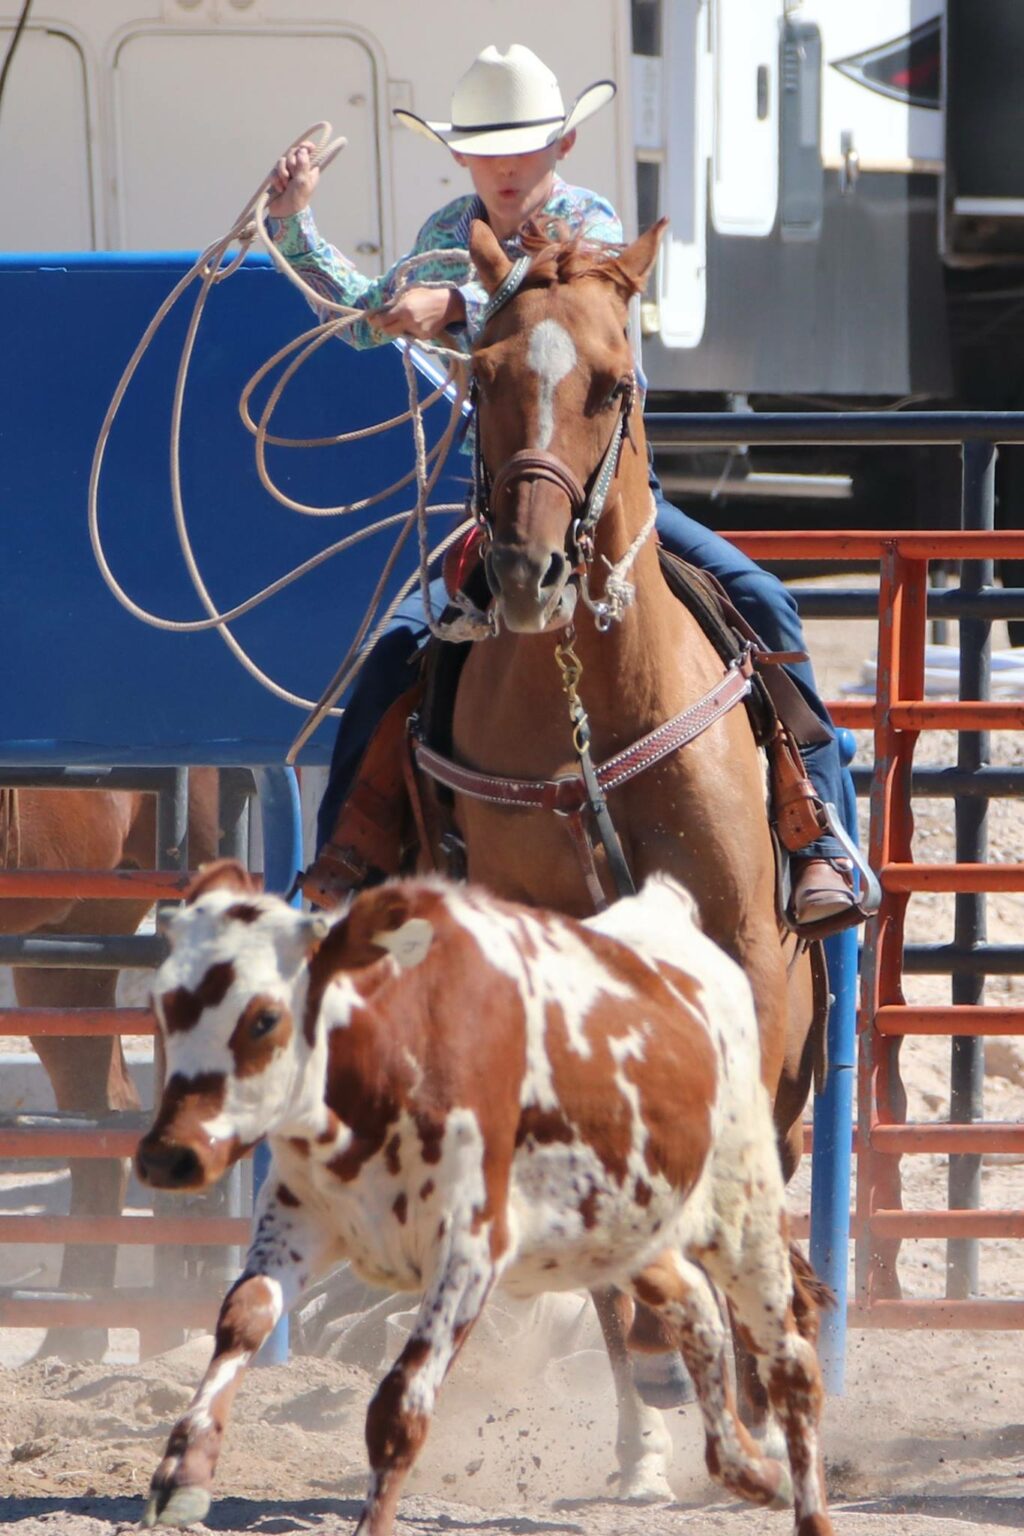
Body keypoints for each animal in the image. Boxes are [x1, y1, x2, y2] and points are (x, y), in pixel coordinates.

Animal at [134, 866, 835, 1536]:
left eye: (264, 1017)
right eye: (162, 1003)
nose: (167, 1155)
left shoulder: (469, 1249)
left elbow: (400, 1406)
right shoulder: (295, 1217)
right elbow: (244, 1316)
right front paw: (183, 1472)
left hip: (742, 1215)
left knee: (790, 1363)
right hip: (619, 1228)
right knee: (693, 1308)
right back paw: (745, 1469)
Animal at [411, 219, 822, 1499]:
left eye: (612, 384)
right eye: (485, 377)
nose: (529, 572)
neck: (587, 705)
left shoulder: (749, 963)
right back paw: (651, 1442)